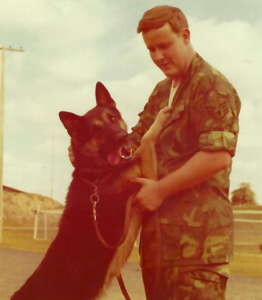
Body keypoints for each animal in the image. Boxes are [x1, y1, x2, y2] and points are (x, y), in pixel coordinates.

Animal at [10, 82, 168, 300]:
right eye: (96, 131)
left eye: (112, 118)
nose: (123, 137)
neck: (98, 177)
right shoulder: (147, 176)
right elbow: (146, 142)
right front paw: (158, 122)